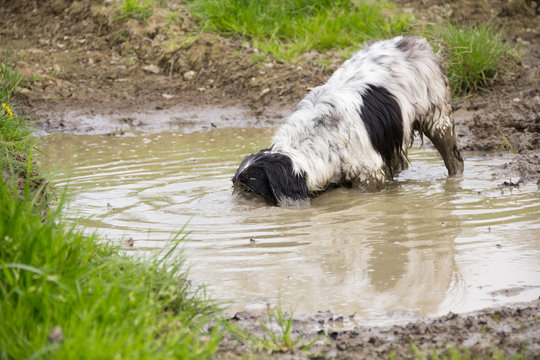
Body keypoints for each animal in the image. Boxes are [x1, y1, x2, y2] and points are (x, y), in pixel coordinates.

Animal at [232, 36, 464, 207]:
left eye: (250, 189)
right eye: (234, 185)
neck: (319, 136)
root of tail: (414, 40)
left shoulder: (369, 175)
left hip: (438, 118)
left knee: (455, 160)